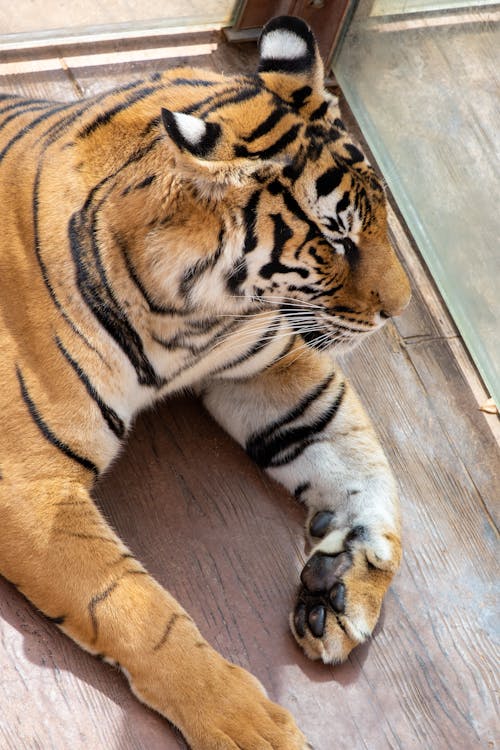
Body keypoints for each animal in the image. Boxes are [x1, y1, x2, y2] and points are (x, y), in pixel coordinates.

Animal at [0, 13, 410, 750]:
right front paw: (252, 725)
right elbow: (137, 608)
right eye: (334, 239)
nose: (404, 308)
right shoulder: (31, 488)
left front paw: (343, 587)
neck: (189, 319)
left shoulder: (267, 364)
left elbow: (368, 466)